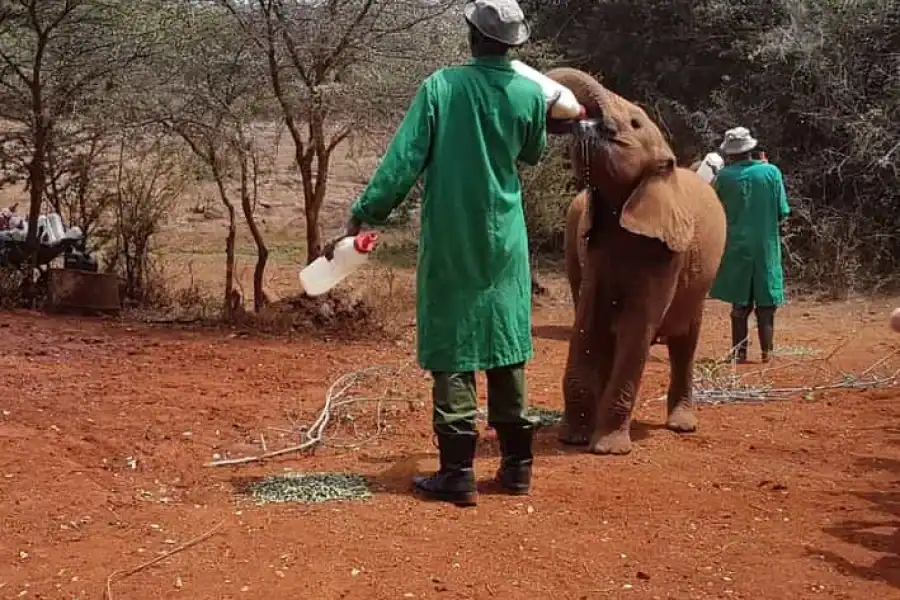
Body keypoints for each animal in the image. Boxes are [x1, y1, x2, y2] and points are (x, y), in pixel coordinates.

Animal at [546, 67, 727, 455]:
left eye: (634, 123)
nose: (577, 116)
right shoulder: (595, 248)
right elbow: (588, 321)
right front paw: (572, 438)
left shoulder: (667, 255)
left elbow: (636, 327)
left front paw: (608, 449)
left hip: (698, 287)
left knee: (685, 344)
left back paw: (682, 425)